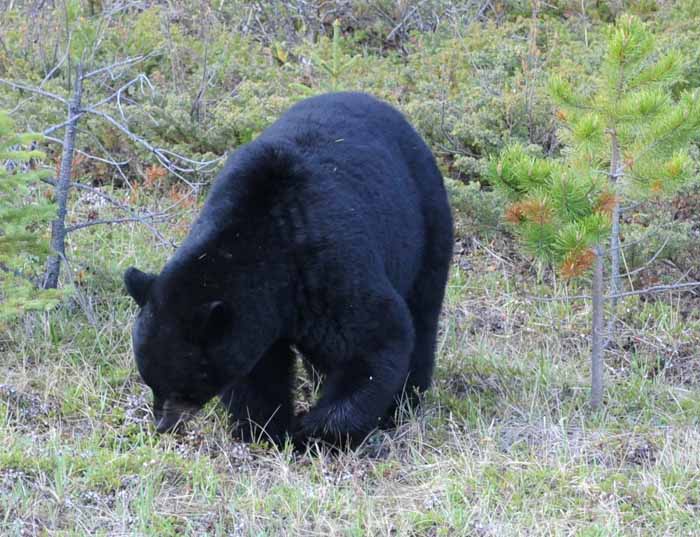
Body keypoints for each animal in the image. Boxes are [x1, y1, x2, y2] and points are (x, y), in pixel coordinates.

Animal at [124, 91, 454, 444]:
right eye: (149, 379)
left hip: (426, 219)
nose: (163, 423)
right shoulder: (257, 314)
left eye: (182, 383)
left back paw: (406, 401)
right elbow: (258, 374)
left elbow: (378, 337)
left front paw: (316, 429)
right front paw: (266, 428)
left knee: (422, 310)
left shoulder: (328, 266)